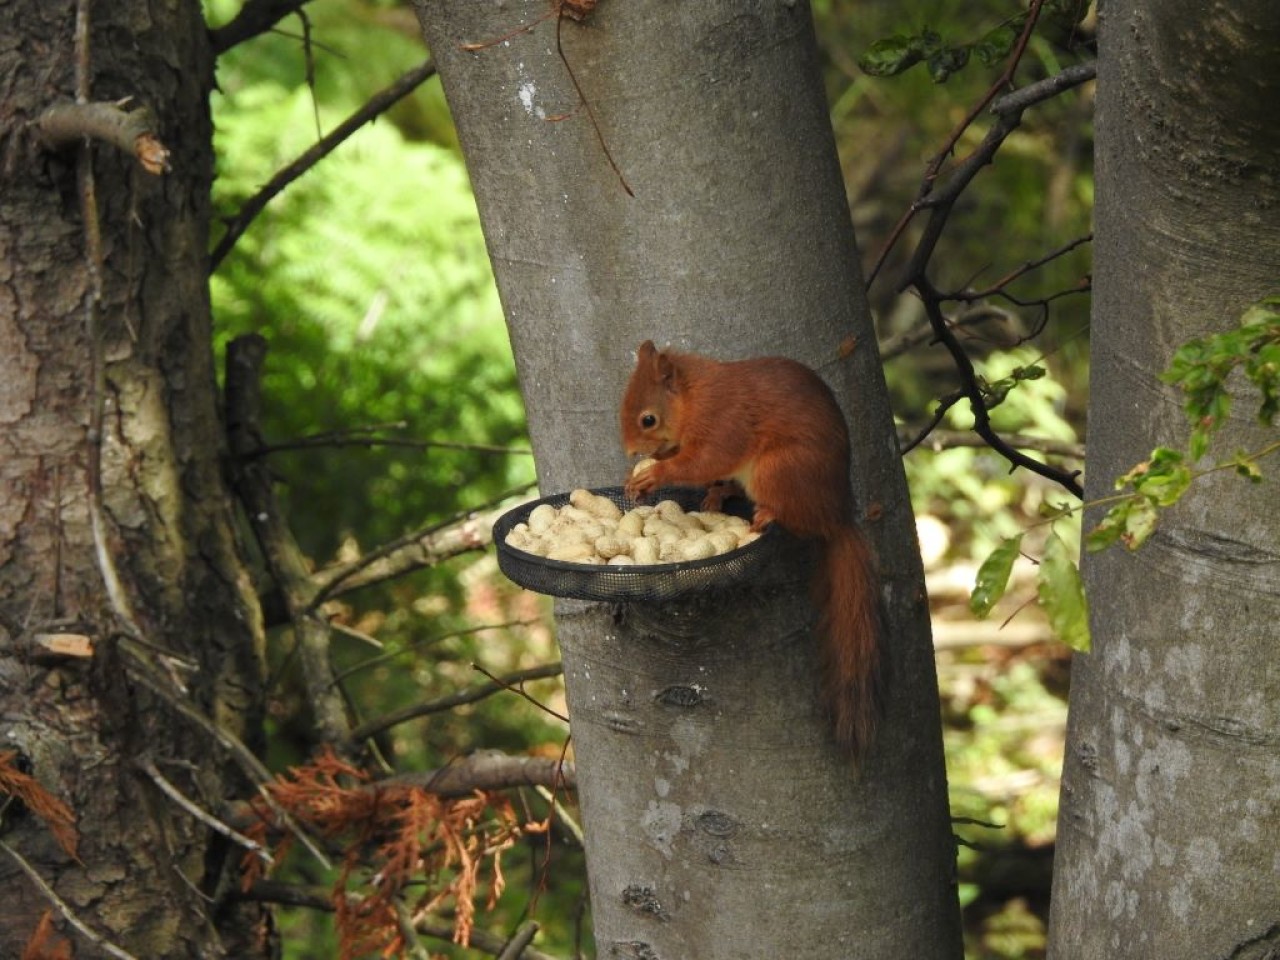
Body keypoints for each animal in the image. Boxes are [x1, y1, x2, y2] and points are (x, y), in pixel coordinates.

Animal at [620, 339, 883, 763]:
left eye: (648, 419)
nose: (631, 453)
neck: (695, 397)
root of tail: (837, 517)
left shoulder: (725, 423)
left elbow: (703, 460)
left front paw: (655, 474)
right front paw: (642, 479)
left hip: (778, 470)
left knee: (790, 515)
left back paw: (765, 515)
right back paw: (718, 494)